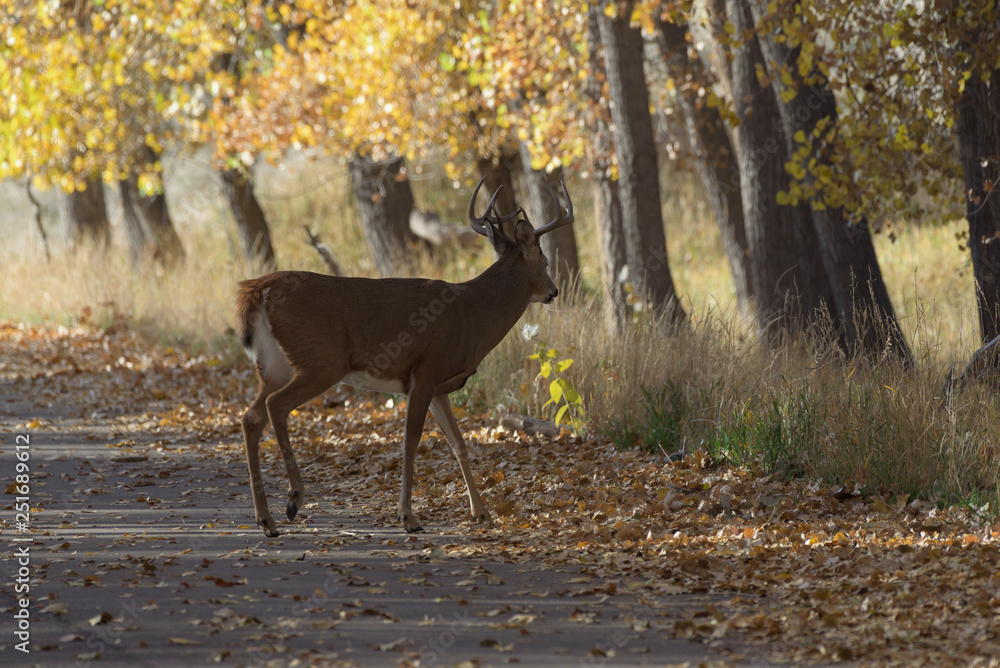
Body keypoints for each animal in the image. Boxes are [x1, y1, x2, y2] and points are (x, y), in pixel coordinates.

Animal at [235, 177, 576, 536]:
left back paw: (266, 520)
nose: (553, 291)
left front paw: (481, 513)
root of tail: (257, 290)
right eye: (545, 262)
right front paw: (408, 516)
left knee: (251, 417)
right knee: (275, 406)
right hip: (321, 361)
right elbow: (410, 442)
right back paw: (293, 499)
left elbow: (459, 444)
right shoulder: (425, 371)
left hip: (275, 365)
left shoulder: (440, 386)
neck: (472, 314)